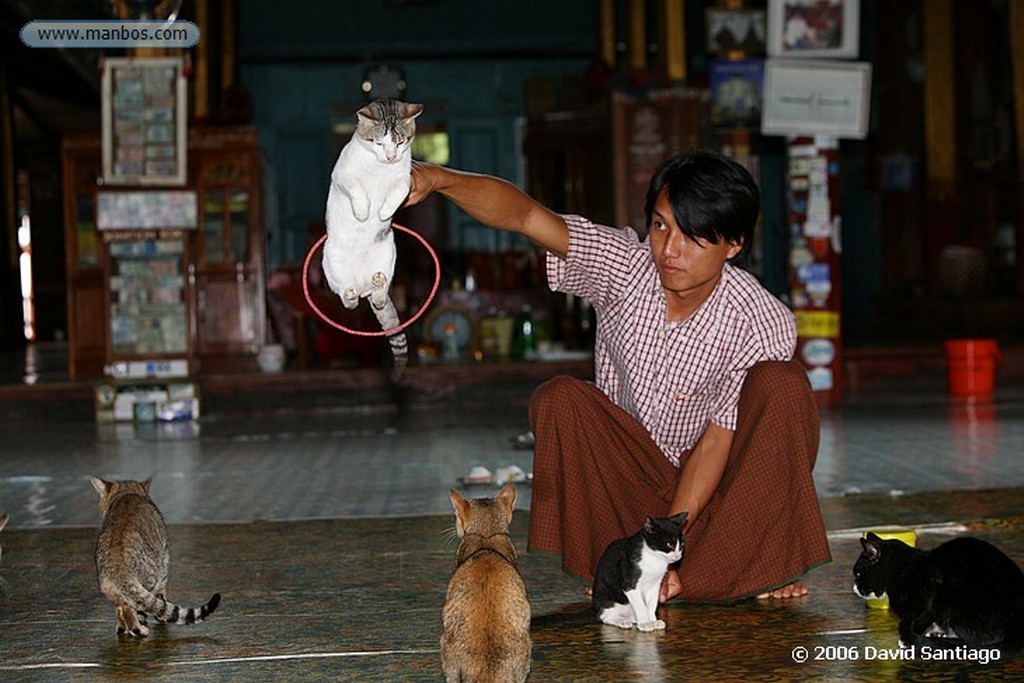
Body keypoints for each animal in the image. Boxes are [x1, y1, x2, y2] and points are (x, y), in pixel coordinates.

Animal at [321, 98, 421, 382]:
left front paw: (384, 212)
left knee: (378, 298)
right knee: (348, 301)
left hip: (388, 253)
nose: (390, 156)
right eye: (378, 143)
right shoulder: (342, 174)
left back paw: (377, 284)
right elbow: (357, 189)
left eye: (400, 142)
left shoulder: (405, 178)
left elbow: (399, 191)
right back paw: (351, 291)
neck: (380, 167)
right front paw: (363, 212)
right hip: (330, 261)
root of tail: (362, 283)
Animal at [856, 532, 1024, 655]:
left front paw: (908, 640)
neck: (902, 570)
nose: (855, 588)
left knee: (976, 642)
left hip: (955, 594)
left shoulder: (930, 582)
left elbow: (919, 616)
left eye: (857, 574)